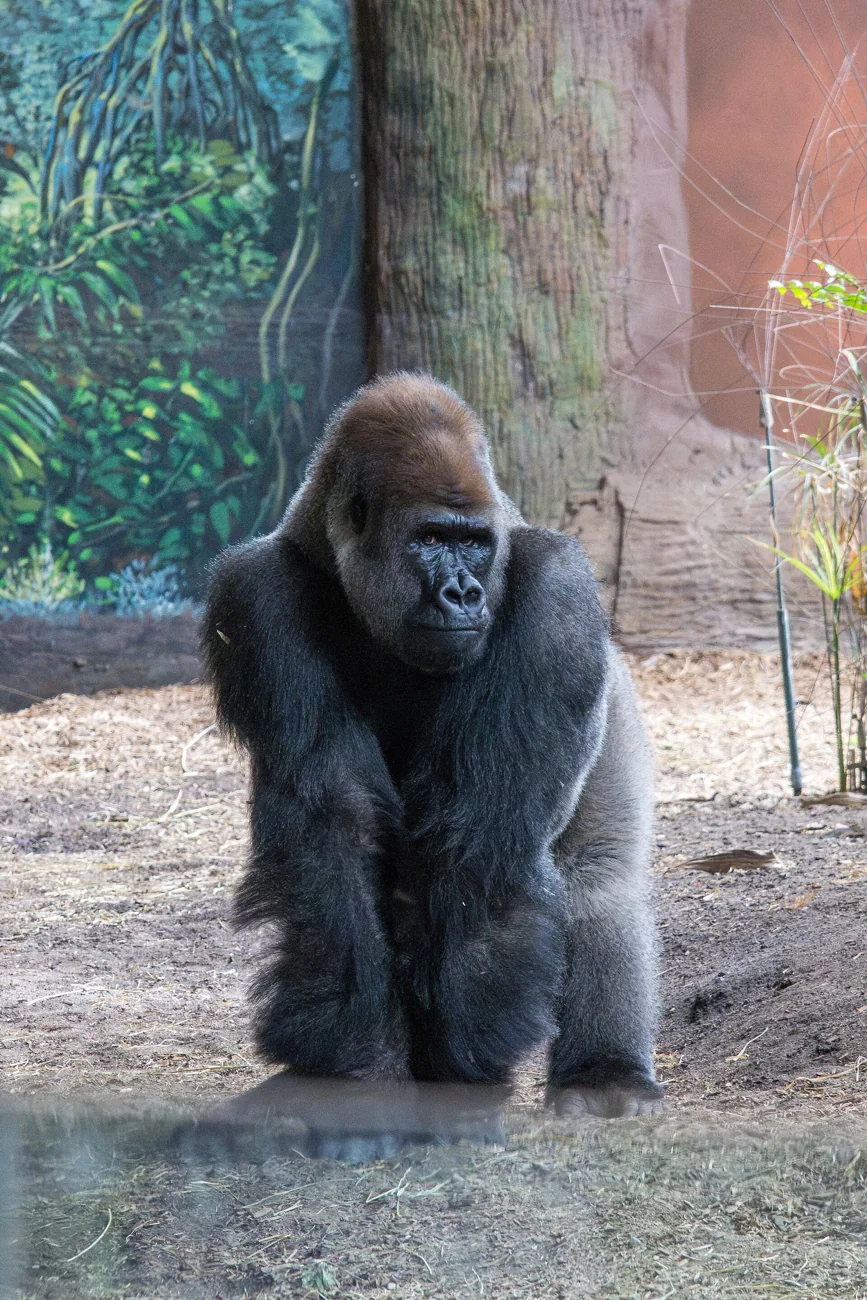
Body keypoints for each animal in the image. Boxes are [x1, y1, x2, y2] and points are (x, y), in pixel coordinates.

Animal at [203, 372, 663, 1121]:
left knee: (599, 881)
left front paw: (461, 1067)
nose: (462, 593)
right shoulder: (254, 593)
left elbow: (483, 828)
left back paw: (605, 1073)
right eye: (429, 538)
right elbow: (337, 826)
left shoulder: (560, 590)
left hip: (614, 701)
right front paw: (359, 1066)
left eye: (473, 542)